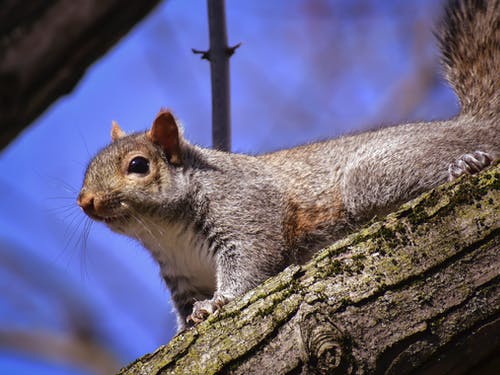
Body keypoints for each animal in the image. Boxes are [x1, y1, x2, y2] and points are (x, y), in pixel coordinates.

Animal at [77, 0, 496, 330]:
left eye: (138, 165)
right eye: (89, 167)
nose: (85, 201)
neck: (166, 232)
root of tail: (472, 124)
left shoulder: (247, 212)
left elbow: (251, 262)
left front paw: (217, 302)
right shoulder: (182, 278)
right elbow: (183, 311)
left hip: (374, 177)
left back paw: (467, 165)